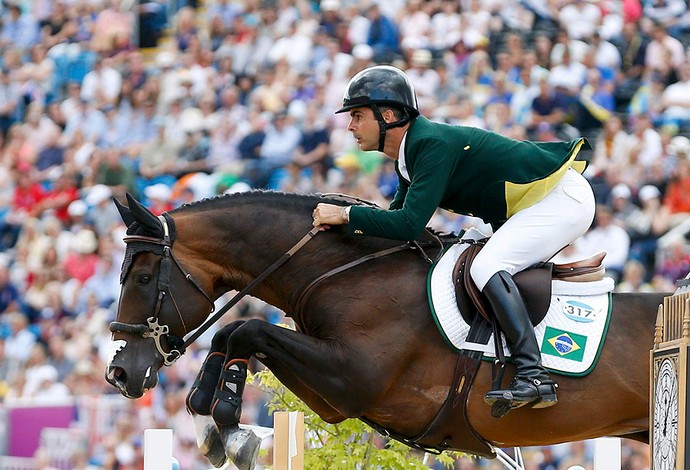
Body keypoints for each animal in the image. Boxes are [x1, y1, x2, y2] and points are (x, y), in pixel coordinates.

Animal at [106, 192, 660, 470]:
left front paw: (227, 429)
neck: (347, 270)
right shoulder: (335, 398)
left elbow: (246, 331)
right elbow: (232, 336)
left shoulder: (352, 380)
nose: (120, 373)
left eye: (143, 278)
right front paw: (212, 424)